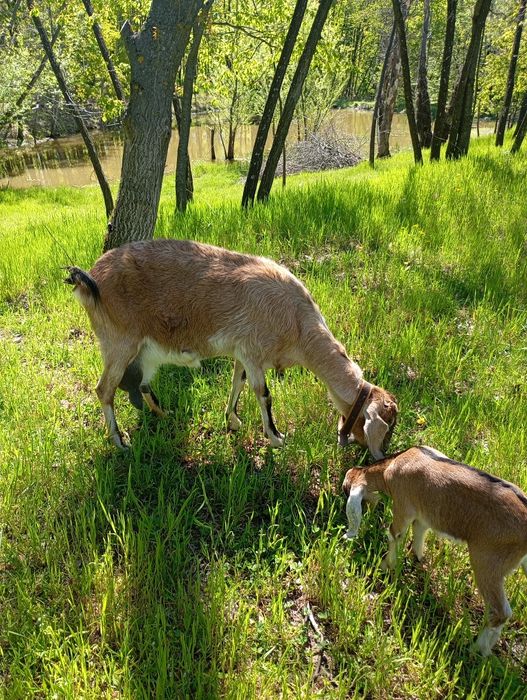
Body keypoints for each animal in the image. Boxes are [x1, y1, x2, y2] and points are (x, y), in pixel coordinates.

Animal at [65, 238, 397, 453]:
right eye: (388, 424)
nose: (378, 456)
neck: (297, 323)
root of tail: (89, 278)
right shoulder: (253, 352)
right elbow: (263, 394)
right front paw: (276, 437)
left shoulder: (242, 354)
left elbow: (237, 383)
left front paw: (233, 420)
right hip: (119, 343)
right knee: (104, 390)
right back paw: (120, 441)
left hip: (146, 353)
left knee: (144, 385)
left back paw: (164, 415)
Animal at [342, 445, 527, 656]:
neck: (392, 465)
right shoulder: (423, 515)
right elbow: (419, 531)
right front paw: (416, 558)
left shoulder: (403, 506)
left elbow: (395, 534)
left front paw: (385, 565)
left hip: (488, 560)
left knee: (500, 612)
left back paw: (475, 649)